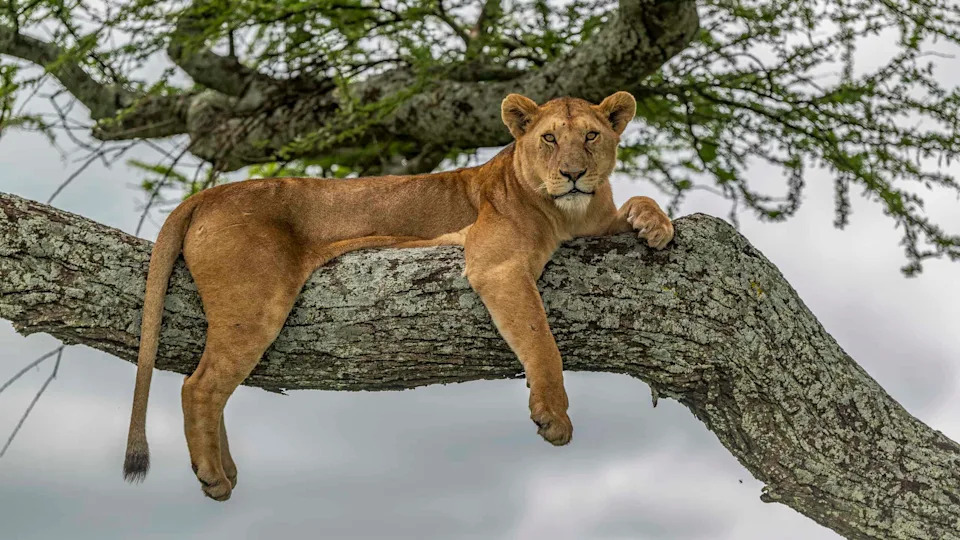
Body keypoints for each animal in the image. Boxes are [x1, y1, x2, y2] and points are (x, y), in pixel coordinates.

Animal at [123, 91, 674, 500]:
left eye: (591, 135)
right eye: (549, 139)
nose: (574, 174)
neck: (569, 214)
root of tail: (208, 194)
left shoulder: (594, 223)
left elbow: (638, 199)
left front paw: (656, 224)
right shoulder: (494, 264)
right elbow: (541, 340)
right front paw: (553, 416)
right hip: (253, 305)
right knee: (199, 386)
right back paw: (214, 475)